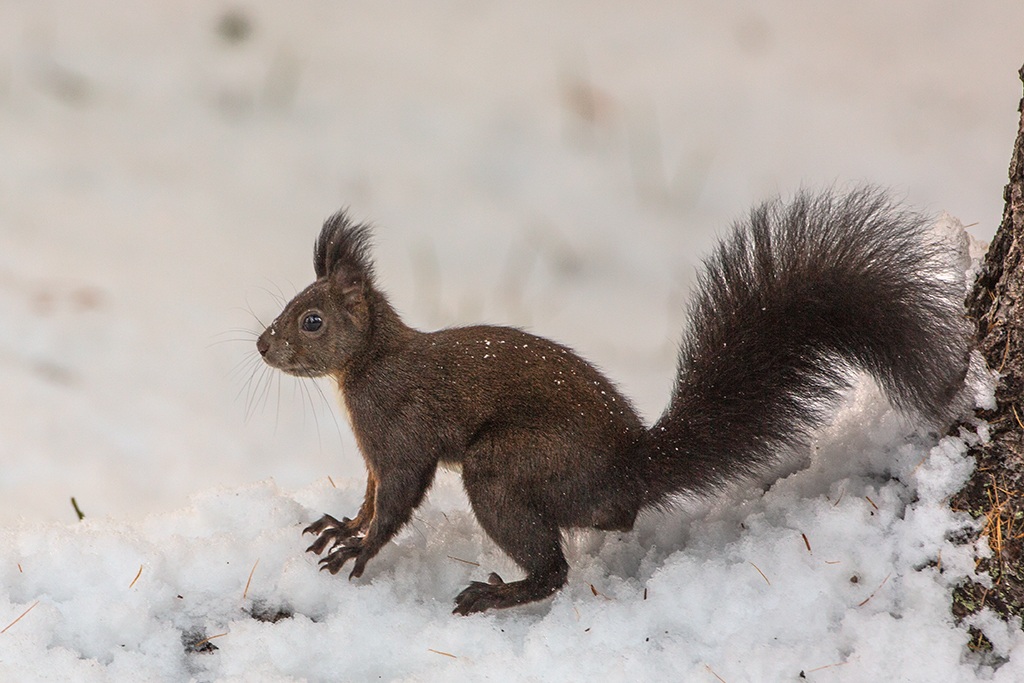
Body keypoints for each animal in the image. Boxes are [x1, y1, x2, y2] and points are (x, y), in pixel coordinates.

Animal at [256, 187, 969, 615]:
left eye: (311, 321)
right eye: (290, 306)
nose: (263, 344)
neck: (368, 365)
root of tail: (631, 470)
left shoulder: (403, 431)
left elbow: (398, 496)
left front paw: (361, 551)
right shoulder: (375, 455)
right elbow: (372, 494)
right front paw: (342, 527)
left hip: (508, 469)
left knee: (554, 567)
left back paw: (499, 594)